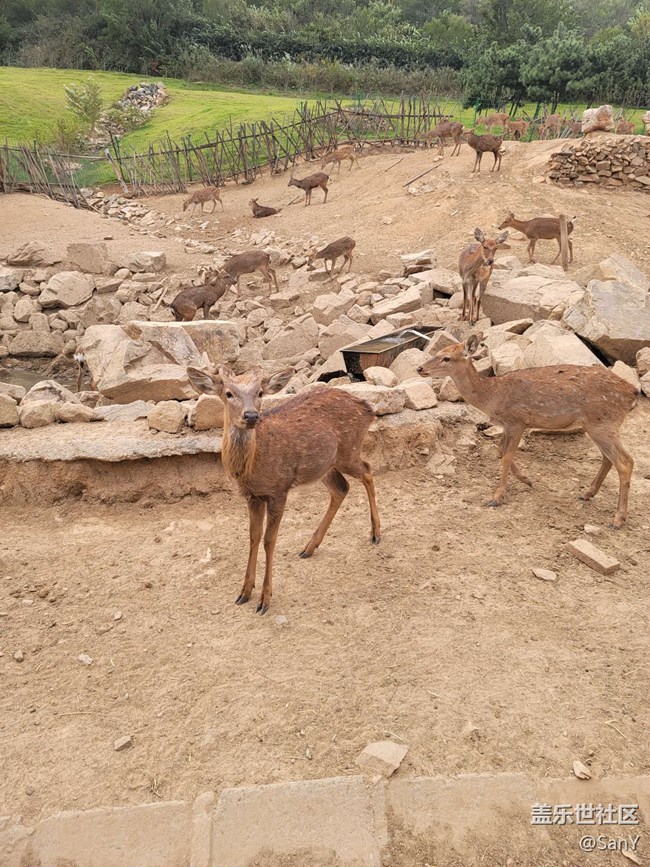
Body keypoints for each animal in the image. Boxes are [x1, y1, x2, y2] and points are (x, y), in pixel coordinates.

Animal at [185, 366, 381, 613]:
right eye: (228, 393)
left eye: (260, 393)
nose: (251, 416)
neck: (251, 467)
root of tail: (368, 409)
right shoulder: (253, 496)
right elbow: (253, 536)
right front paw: (244, 592)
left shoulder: (279, 489)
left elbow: (270, 540)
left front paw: (264, 600)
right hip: (324, 465)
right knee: (341, 488)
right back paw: (309, 547)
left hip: (349, 451)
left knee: (367, 471)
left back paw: (375, 533)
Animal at [418, 336, 638, 528]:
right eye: (437, 352)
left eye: (446, 357)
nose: (419, 368)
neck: (491, 396)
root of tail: (633, 394)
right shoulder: (507, 425)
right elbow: (500, 450)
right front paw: (527, 480)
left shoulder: (518, 421)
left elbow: (507, 455)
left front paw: (496, 497)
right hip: (597, 425)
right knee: (608, 458)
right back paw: (587, 493)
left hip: (603, 423)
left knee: (625, 462)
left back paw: (617, 520)